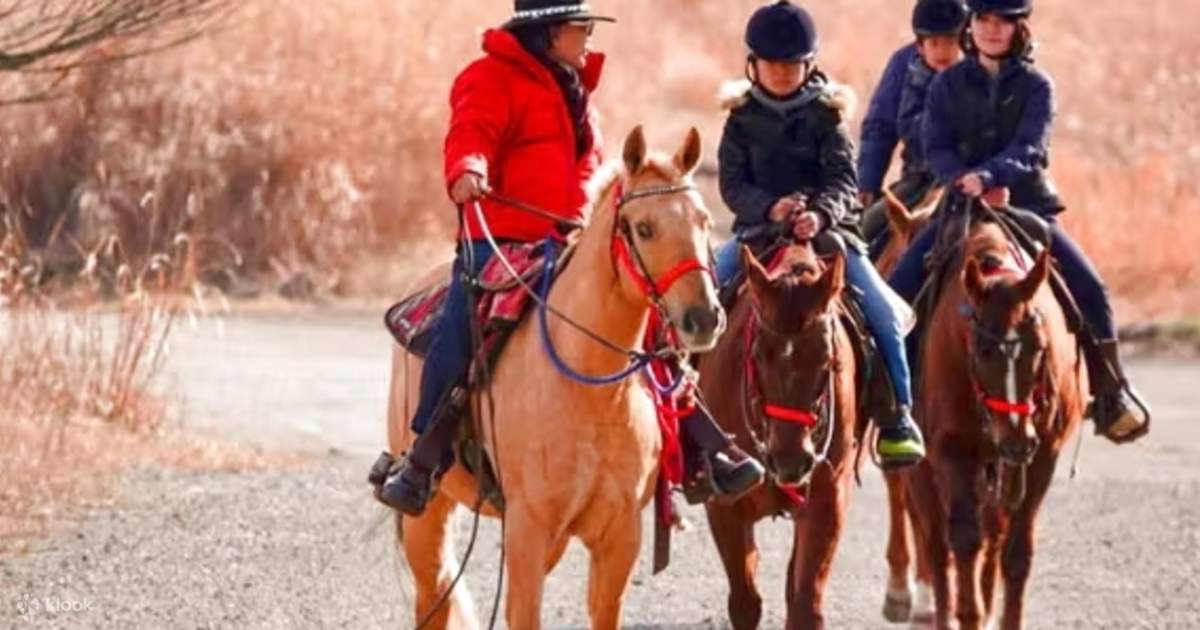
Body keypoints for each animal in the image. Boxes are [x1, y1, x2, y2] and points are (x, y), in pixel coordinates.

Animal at [385, 126, 725, 630]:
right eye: (643, 228)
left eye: (703, 222)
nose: (703, 318)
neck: (592, 390)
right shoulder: (528, 529)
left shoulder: (619, 535)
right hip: (427, 515)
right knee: (435, 594)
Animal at [696, 242, 862, 630]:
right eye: (758, 354)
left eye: (827, 359)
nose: (790, 461)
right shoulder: (725, 505)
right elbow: (745, 602)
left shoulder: (828, 499)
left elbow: (805, 606)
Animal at [902, 202, 1085, 629]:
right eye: (983, 350)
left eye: (1039, 346)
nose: (1017, 438)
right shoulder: (952, 451)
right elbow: (964, 541)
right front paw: (969, 614)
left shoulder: (1041, 457)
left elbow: (1017, 552)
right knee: (937, 545)